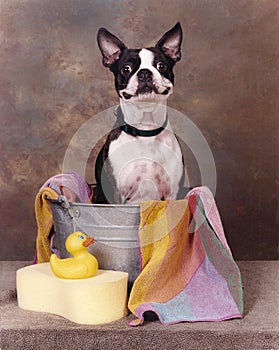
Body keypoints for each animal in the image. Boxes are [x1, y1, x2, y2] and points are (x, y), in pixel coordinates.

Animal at [94, 23, 186, 204]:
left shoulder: (172, 194)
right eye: (126, 69)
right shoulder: (116, 196)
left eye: (161, 66)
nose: (144, 72)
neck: (146, 129)